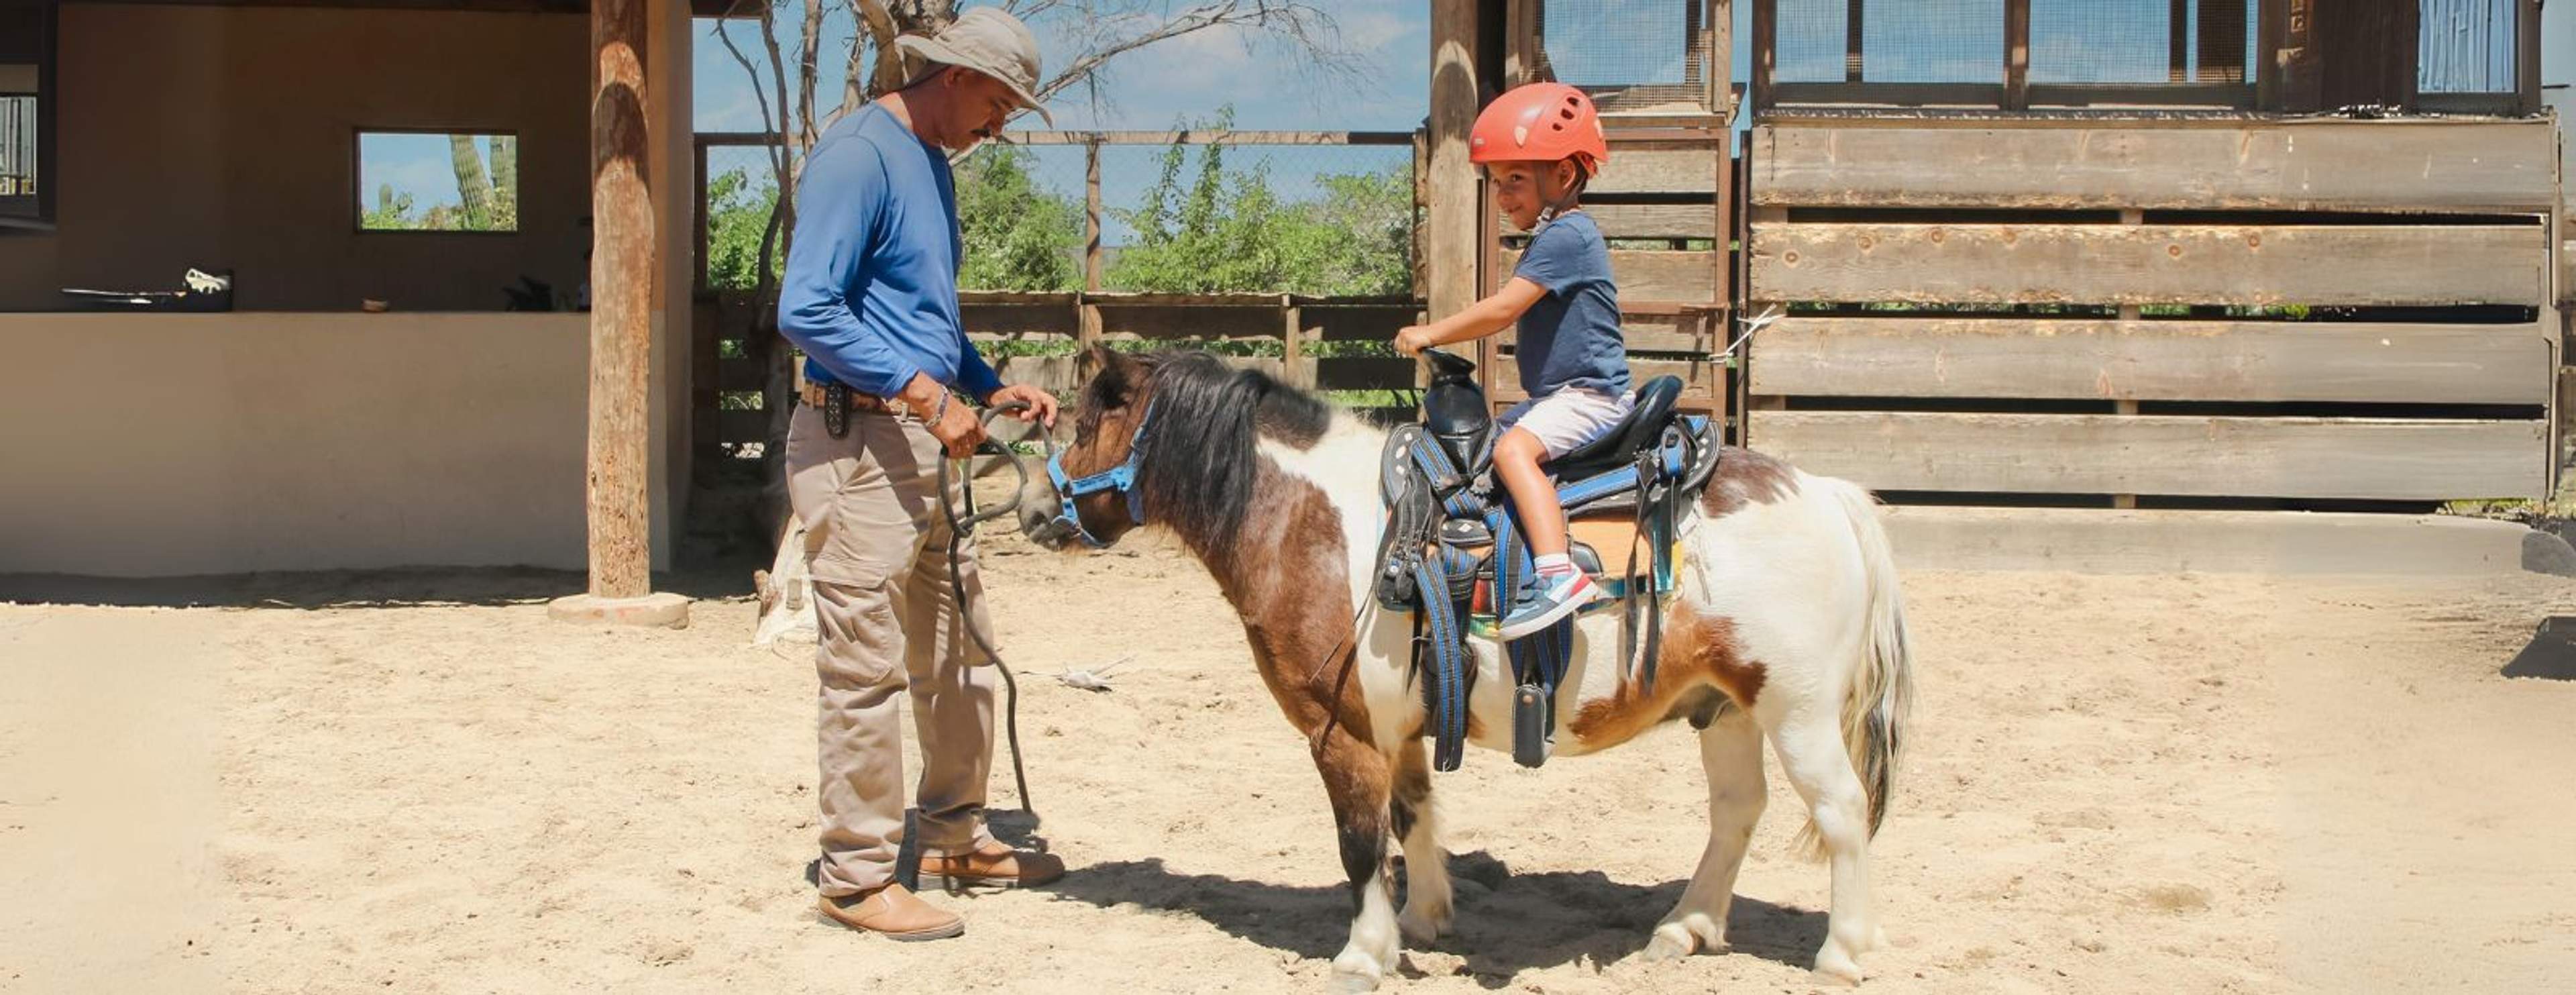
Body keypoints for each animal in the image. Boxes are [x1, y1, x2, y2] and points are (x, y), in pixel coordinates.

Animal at [1018, 348, 1914, 990]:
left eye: (1088, 425)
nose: (1032, 509)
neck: (1312, 523)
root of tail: (1826, 494)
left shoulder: (1339, 731)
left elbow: (1358, 842)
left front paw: (1364, 952)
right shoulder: (1401, 726)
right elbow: (1412, 815)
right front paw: (1423, 920)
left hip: (1796, 712)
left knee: (1842, 812)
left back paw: (1840, 953)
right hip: (1724, 707)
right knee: (1736, 812)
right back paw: (1685, 927)